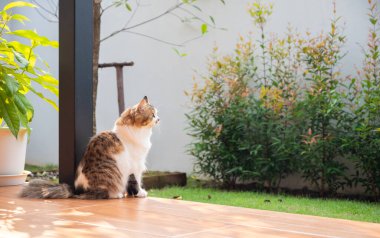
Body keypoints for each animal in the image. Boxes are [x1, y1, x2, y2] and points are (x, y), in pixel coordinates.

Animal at [20, 96, 160, 199]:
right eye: (153, 115)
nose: (158, 119)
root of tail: (77, 190)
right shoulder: (136, 165)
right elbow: (137, 180)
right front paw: (140, 193)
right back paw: (117, 194)